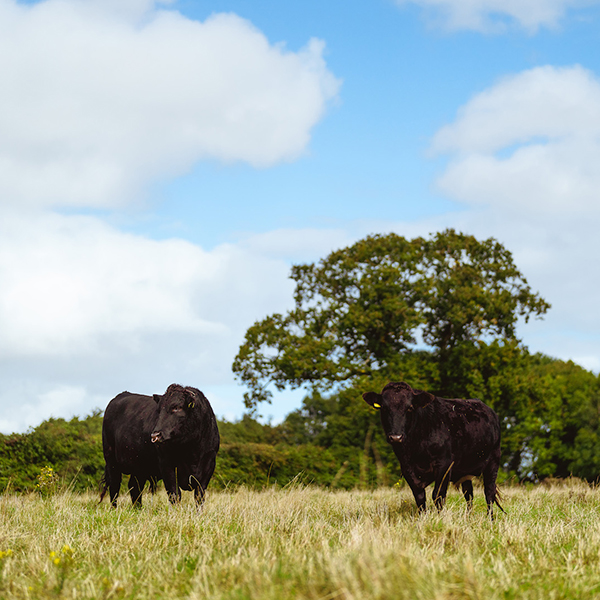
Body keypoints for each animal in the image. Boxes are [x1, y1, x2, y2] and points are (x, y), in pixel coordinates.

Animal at [364, 380, 504, 516]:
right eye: (384, 408)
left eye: (410, 408)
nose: (396, 437)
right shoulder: (407, 468)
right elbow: (419, 497)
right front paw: (423, 518)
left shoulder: (444, 465)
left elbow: (438, 495)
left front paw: (439, 518)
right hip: (466, 469)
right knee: (469, 494)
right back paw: (468, 517)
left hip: (493, 460)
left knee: (489, 492)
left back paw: (490, 518)